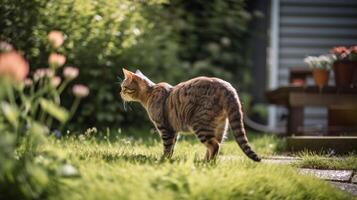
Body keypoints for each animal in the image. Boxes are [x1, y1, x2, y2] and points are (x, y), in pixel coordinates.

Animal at [119, 68, 258, 162]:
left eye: (124, 87)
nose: (120, 93)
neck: (150, 94)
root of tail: (228, 87)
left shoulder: (165, 128)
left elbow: (167, 147)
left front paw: (163, 160)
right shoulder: (173, 130)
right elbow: (172, 146)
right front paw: (168, 160)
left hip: (201, 124)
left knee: (214, 145)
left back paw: (207, 164)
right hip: (220, 127)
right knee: (215, 145)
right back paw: (205, 161)